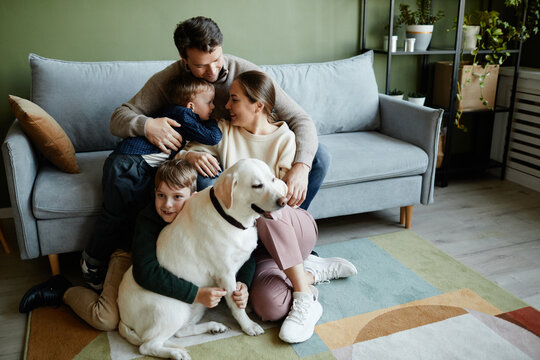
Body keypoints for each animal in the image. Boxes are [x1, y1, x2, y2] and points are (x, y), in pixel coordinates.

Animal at [116, 159, 288, 360]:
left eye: (273, 179)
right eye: (257, 185)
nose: (284, 201)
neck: (228, 216)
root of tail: (122, 317)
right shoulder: (225, 274)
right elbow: (236, 306)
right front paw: (248, 325)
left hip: (196, 307)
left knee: (179, 332)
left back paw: (213, 326)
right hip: (173, 310)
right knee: (147, 345)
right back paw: (176, 353)